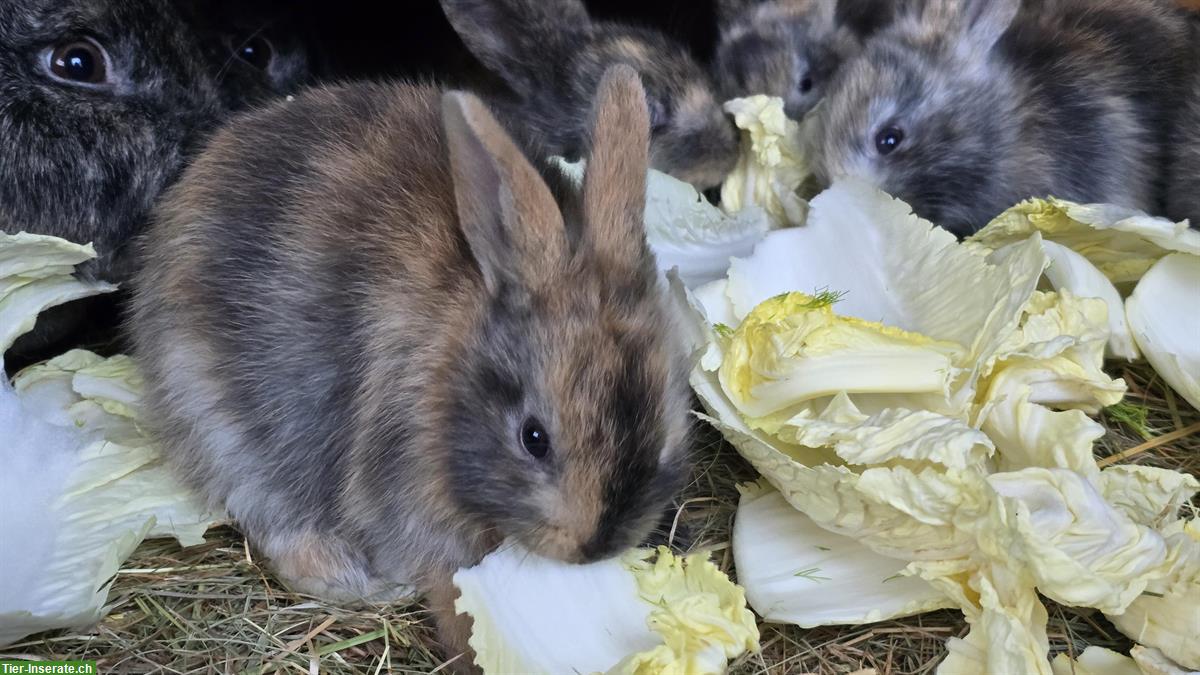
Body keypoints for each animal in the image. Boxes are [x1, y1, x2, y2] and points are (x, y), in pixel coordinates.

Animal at [129, 65, 693, 668]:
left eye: (665, 433)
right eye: (533, 438)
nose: (594, 548)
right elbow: (446, 586)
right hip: (224, 423)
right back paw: (353, 580)